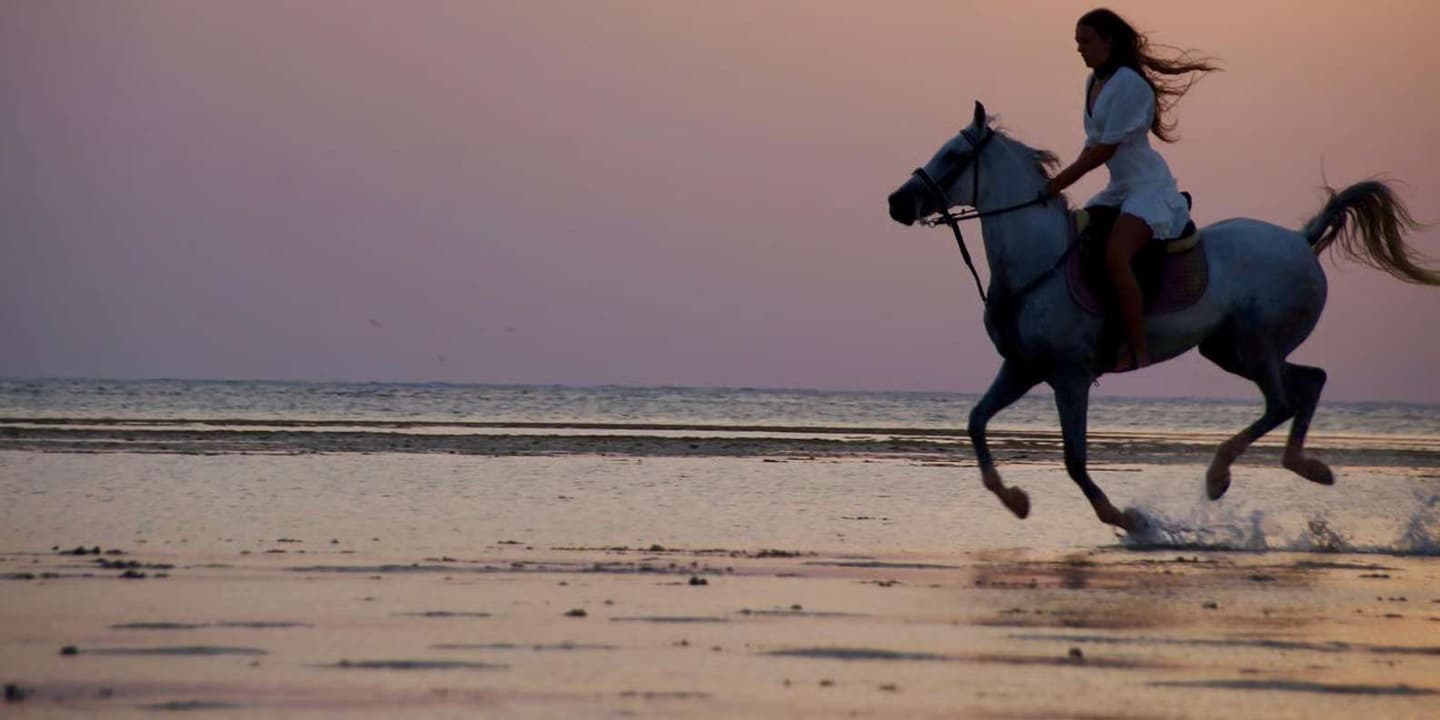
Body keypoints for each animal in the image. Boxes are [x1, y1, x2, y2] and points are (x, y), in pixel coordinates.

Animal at [886, 102, 1440, 533]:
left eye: (952, 156)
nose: (897, 202)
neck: (1037, 260)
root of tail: (1302, 240)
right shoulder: (1023, 368)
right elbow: (976, 422)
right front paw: (1016, 500)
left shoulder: (1070, 376)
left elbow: (1074, 459)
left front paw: (1125, 518)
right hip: (1229, 349)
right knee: (1310, 382)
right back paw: (1308, 467)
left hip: (1255, 343)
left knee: (1282, 400)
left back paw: (1219, 476)